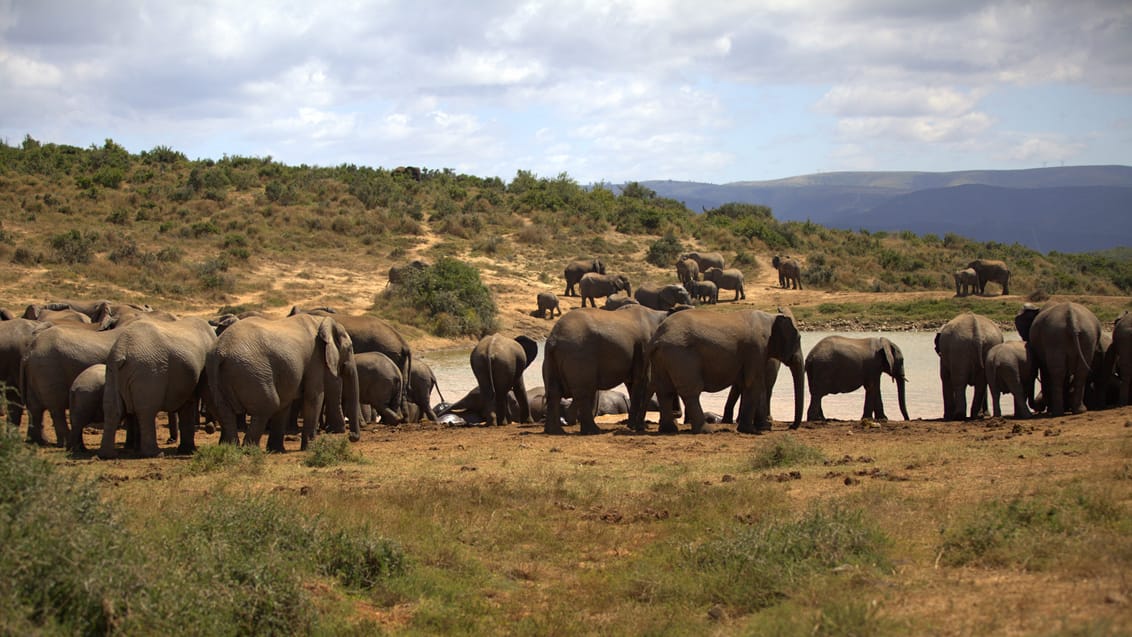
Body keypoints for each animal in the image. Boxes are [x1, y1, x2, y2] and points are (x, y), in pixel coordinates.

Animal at [206, 314, 359, 452]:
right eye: (350, 349)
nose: (352, 437)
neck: (321, 321)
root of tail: (220, 352)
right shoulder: (315, 358)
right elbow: (314, 396)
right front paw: (310, 449)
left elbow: (285, 404)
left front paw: (276, 450)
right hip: (251, 371)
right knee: (268, 405)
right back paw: (249, 451)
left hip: (217, 378)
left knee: (225, 413)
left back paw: (231, 449)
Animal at [543, 303, 674, 434]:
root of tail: (553, 339)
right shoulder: (645, 348)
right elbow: (643, 381)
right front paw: (638, 427)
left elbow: (633, 385)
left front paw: (634, 426)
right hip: (579, 355)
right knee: (582, 392)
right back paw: (593, 431)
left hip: (551, 358)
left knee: (554, 392)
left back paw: (555, 431)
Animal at [647, 307, 805, 434]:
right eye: (798, 339)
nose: (791, 427)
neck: (771, 317)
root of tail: (657, 338)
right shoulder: (756, 349)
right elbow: (754, 384)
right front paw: (751, 431)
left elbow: (749, 384)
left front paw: (759, 428)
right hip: (681, 355)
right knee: (690, 391)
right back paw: (706, 430)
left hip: (661, 358)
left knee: (664, 391)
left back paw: (669, 429)